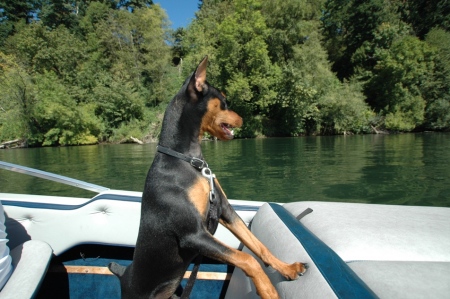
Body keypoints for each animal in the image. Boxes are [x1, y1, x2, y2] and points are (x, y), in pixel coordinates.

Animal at [110, 57, 306, 298]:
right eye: (224, 100)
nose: (243, 118)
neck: (189, 161)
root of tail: (123, 275)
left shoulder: (224, 210)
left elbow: (258, 246)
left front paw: (288, 268)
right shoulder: (193, 234)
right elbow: (246, 258)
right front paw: (269, 290)